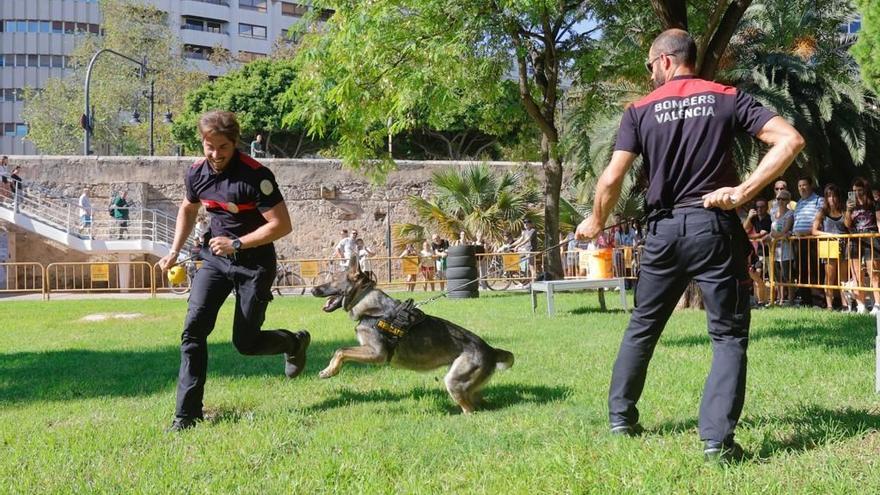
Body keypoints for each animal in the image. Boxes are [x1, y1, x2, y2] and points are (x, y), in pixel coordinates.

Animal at [312, 262, 512, 412]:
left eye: (333, 279)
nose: (313, 290)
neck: (368, 304)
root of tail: (491, 350)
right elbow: (341, 350)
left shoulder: (377, 354)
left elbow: (341, 350)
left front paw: (329, 371)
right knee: (481, 402)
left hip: (453, 382)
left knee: (470, 409)